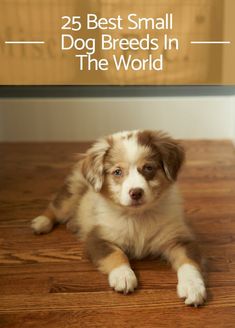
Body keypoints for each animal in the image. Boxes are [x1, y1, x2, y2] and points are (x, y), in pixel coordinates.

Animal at [32, 129, 207, 306]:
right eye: (117, 172)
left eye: (148, 168)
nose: (136, 192)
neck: (138, 217)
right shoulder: (98, 238)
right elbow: (116, 254)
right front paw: (123, 276)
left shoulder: (179, 239)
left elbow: (189, 263)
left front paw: (193, 287)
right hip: (71, 193)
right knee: (55, 207)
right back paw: (41, 222)